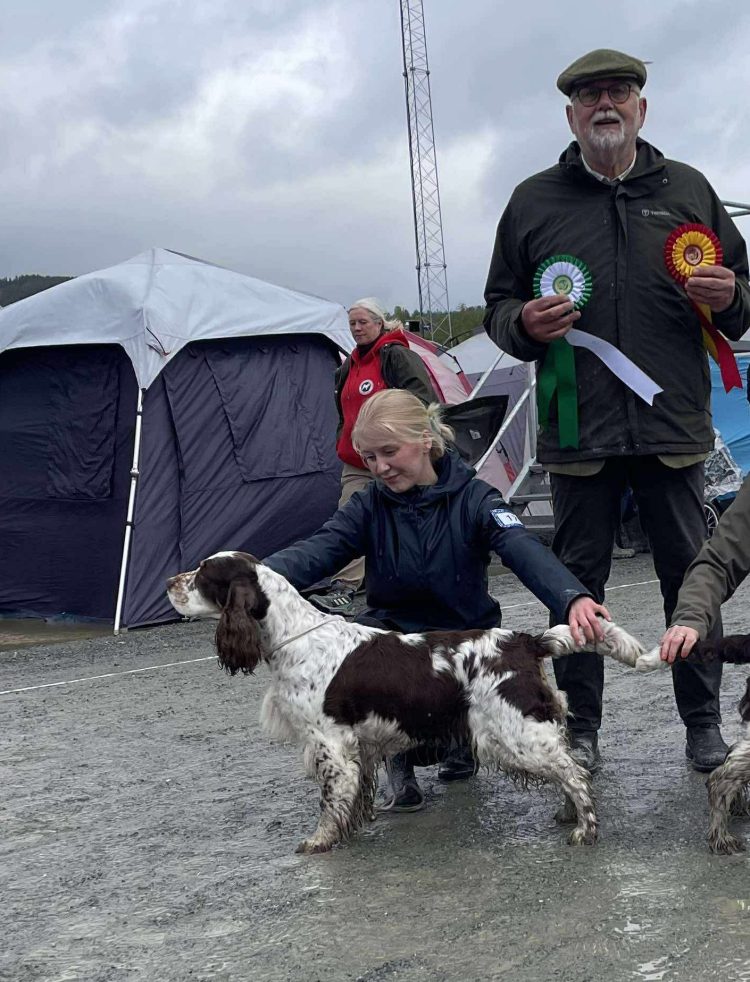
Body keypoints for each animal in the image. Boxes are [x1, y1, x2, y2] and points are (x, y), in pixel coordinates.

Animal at [167, 550, 645, 854]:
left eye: (203, 573)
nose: (169, 582)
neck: (293, 636)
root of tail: (525, 641)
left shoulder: (329, 743)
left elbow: (330, 800)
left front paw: (320, 842)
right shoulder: (357, 747)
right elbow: (353, 797)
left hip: (513, 732)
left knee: (575, 772)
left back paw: (585, 829)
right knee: (569, 766)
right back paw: (568, 815)